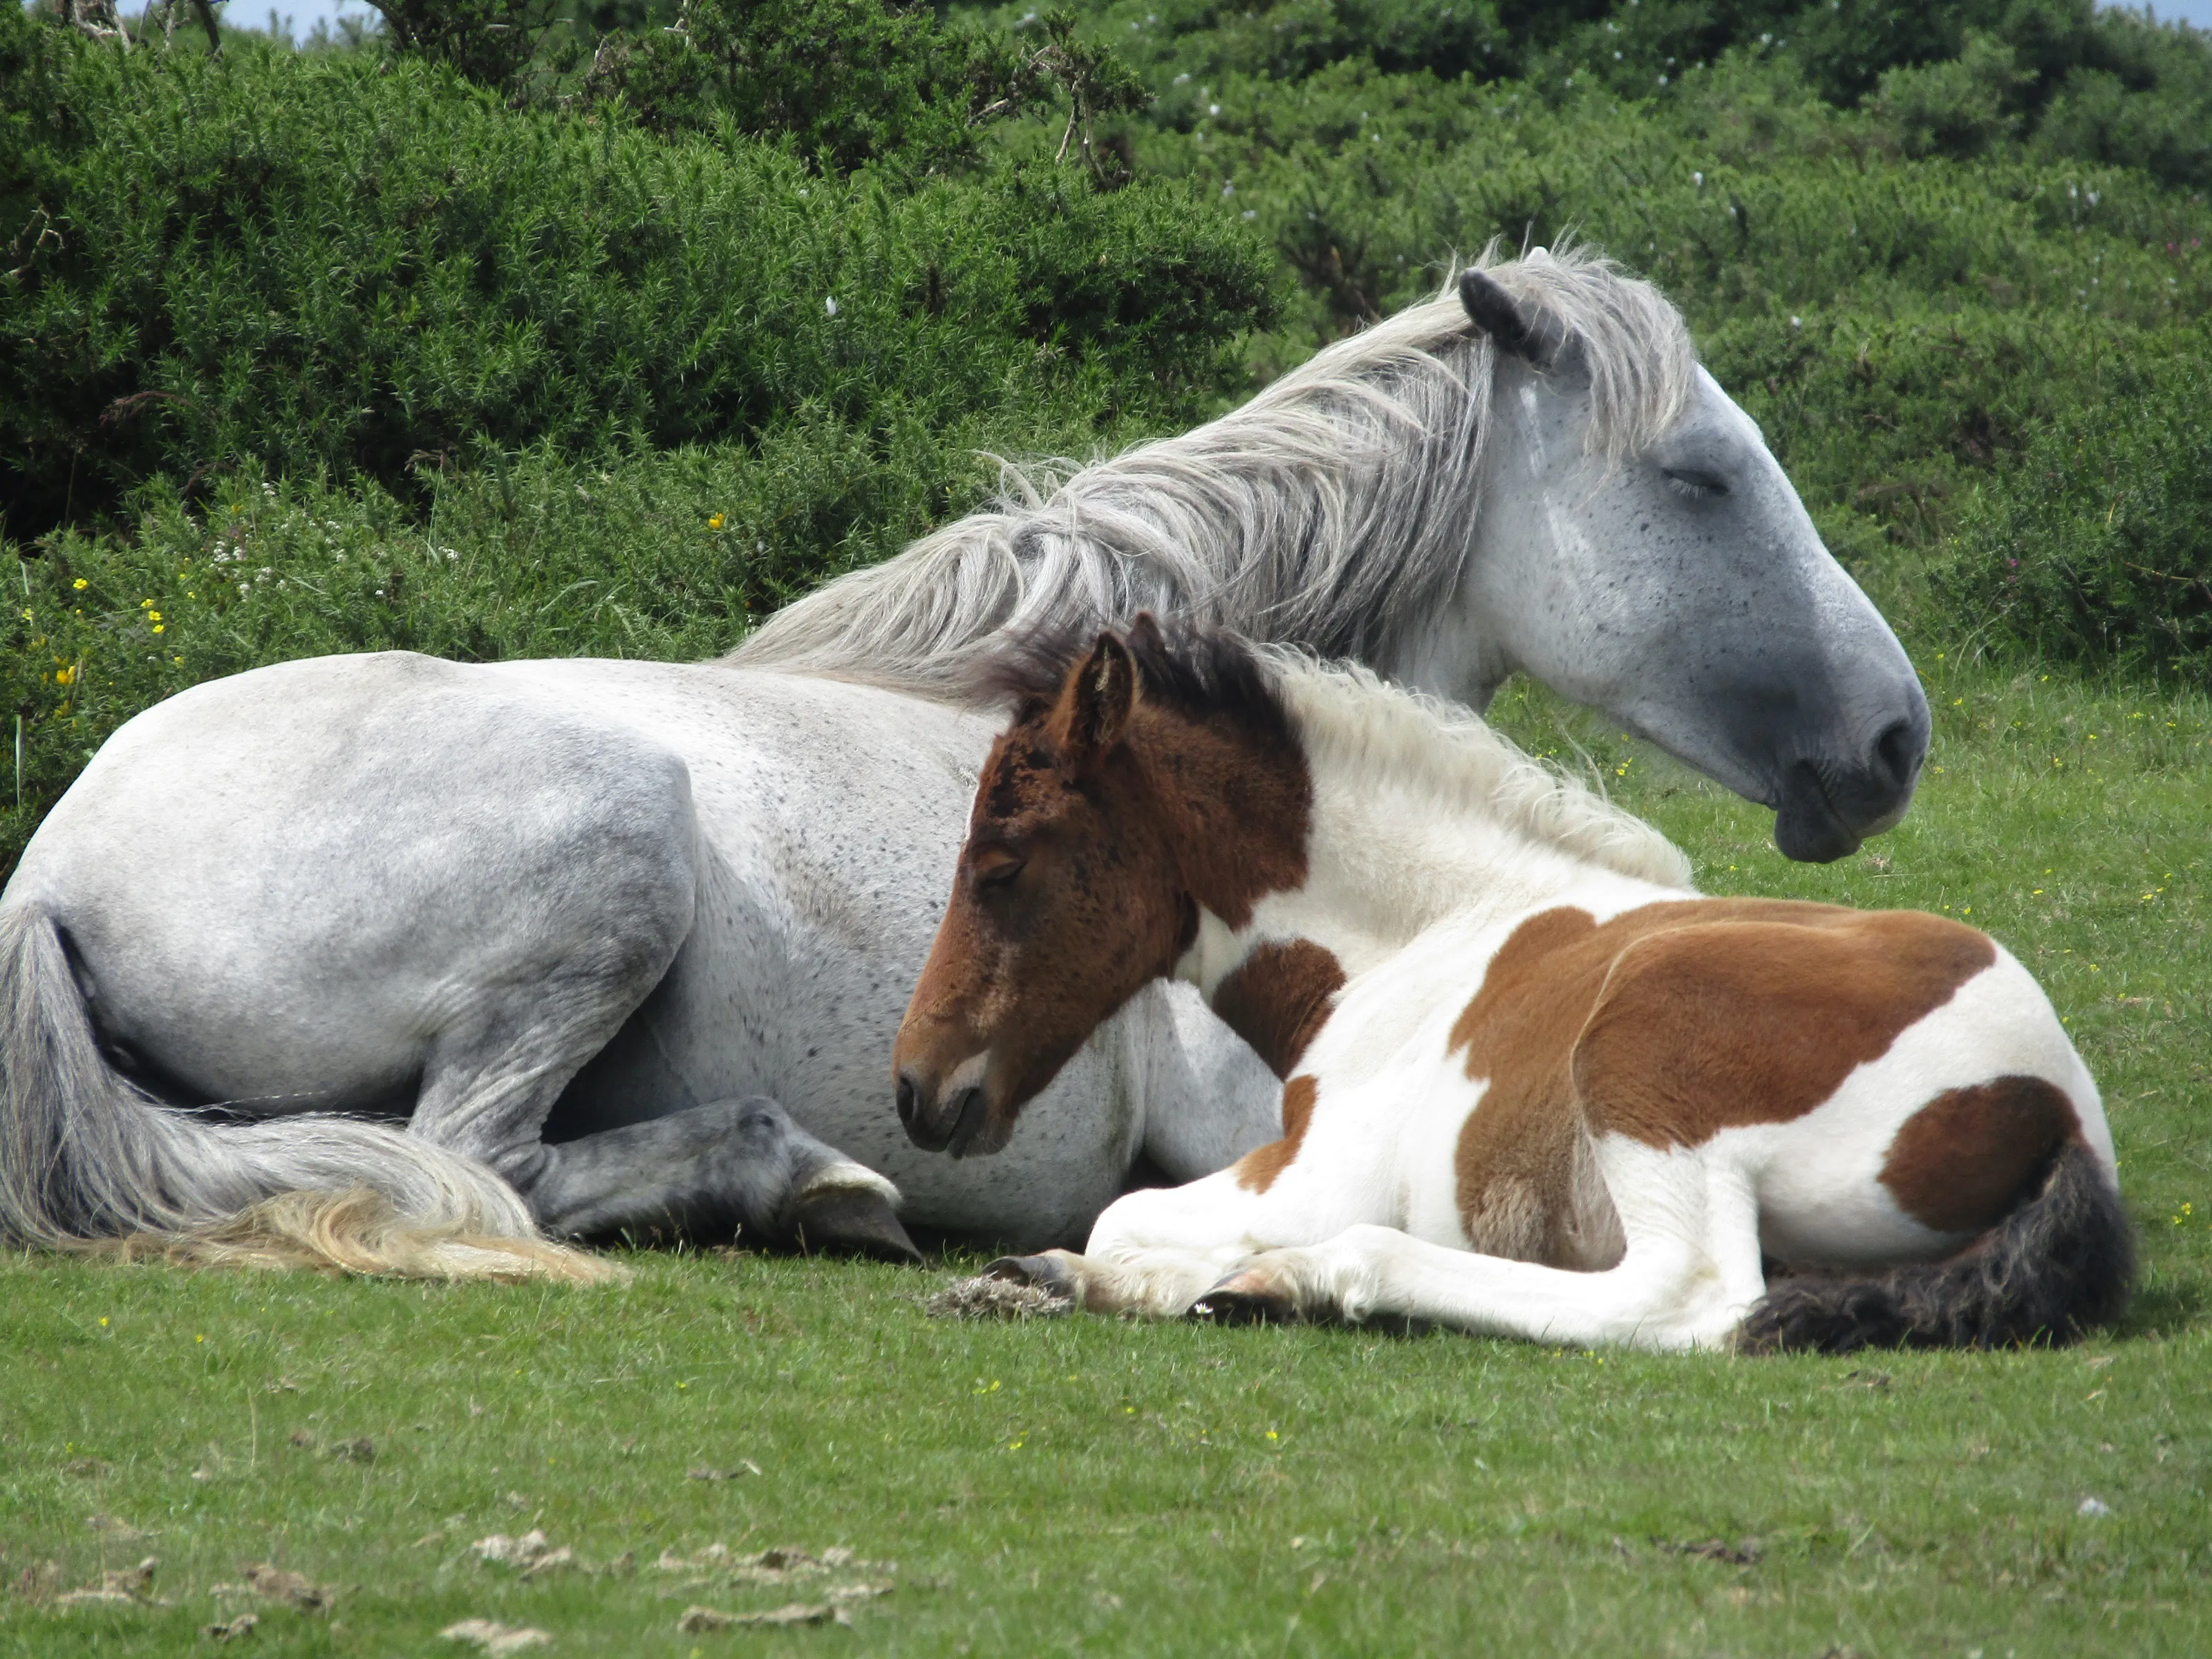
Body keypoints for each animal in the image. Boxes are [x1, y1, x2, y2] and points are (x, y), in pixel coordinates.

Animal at [1, 247, 1932, 1273]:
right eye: (1698, 475)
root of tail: (52, 869)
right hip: (618, 853)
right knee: (483, 1159)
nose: (1893, 735)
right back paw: (810, 1180)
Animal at [893, 619, 2132, 1351]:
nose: (915, 1087)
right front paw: (1053, 1277)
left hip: (1648, 1062)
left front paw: (1158, 1272)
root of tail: (2054, 1109)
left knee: (1685, 1296)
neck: (1412, 943)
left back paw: (1297, 1280)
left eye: (1000, 864)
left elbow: (1123, 1214)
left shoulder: (1318, 1173)